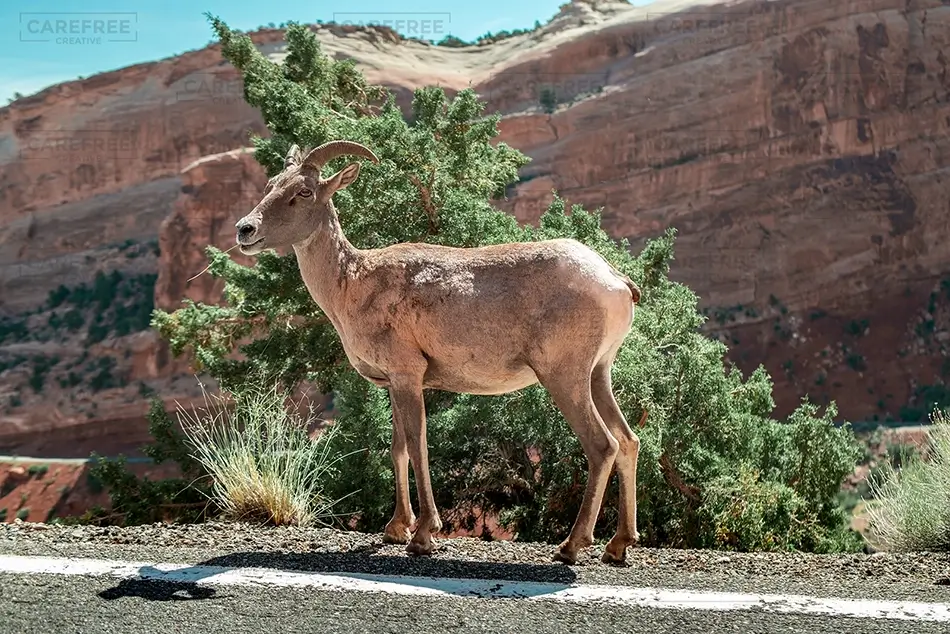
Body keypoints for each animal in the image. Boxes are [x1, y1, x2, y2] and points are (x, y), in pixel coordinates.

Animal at [234, 140, 644, 565]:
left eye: (304, 192)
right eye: (271, 184)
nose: (245, 230)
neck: (353, 284)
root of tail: (615, 282)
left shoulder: (407, 376)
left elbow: (417, 446)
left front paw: (423, 537)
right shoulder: (395, 383)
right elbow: (398, 449)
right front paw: (396, 529)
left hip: (564, 376)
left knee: (602, 445)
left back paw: (571, 547)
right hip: (598, 373)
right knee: (628, 441)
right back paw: (618, 546)